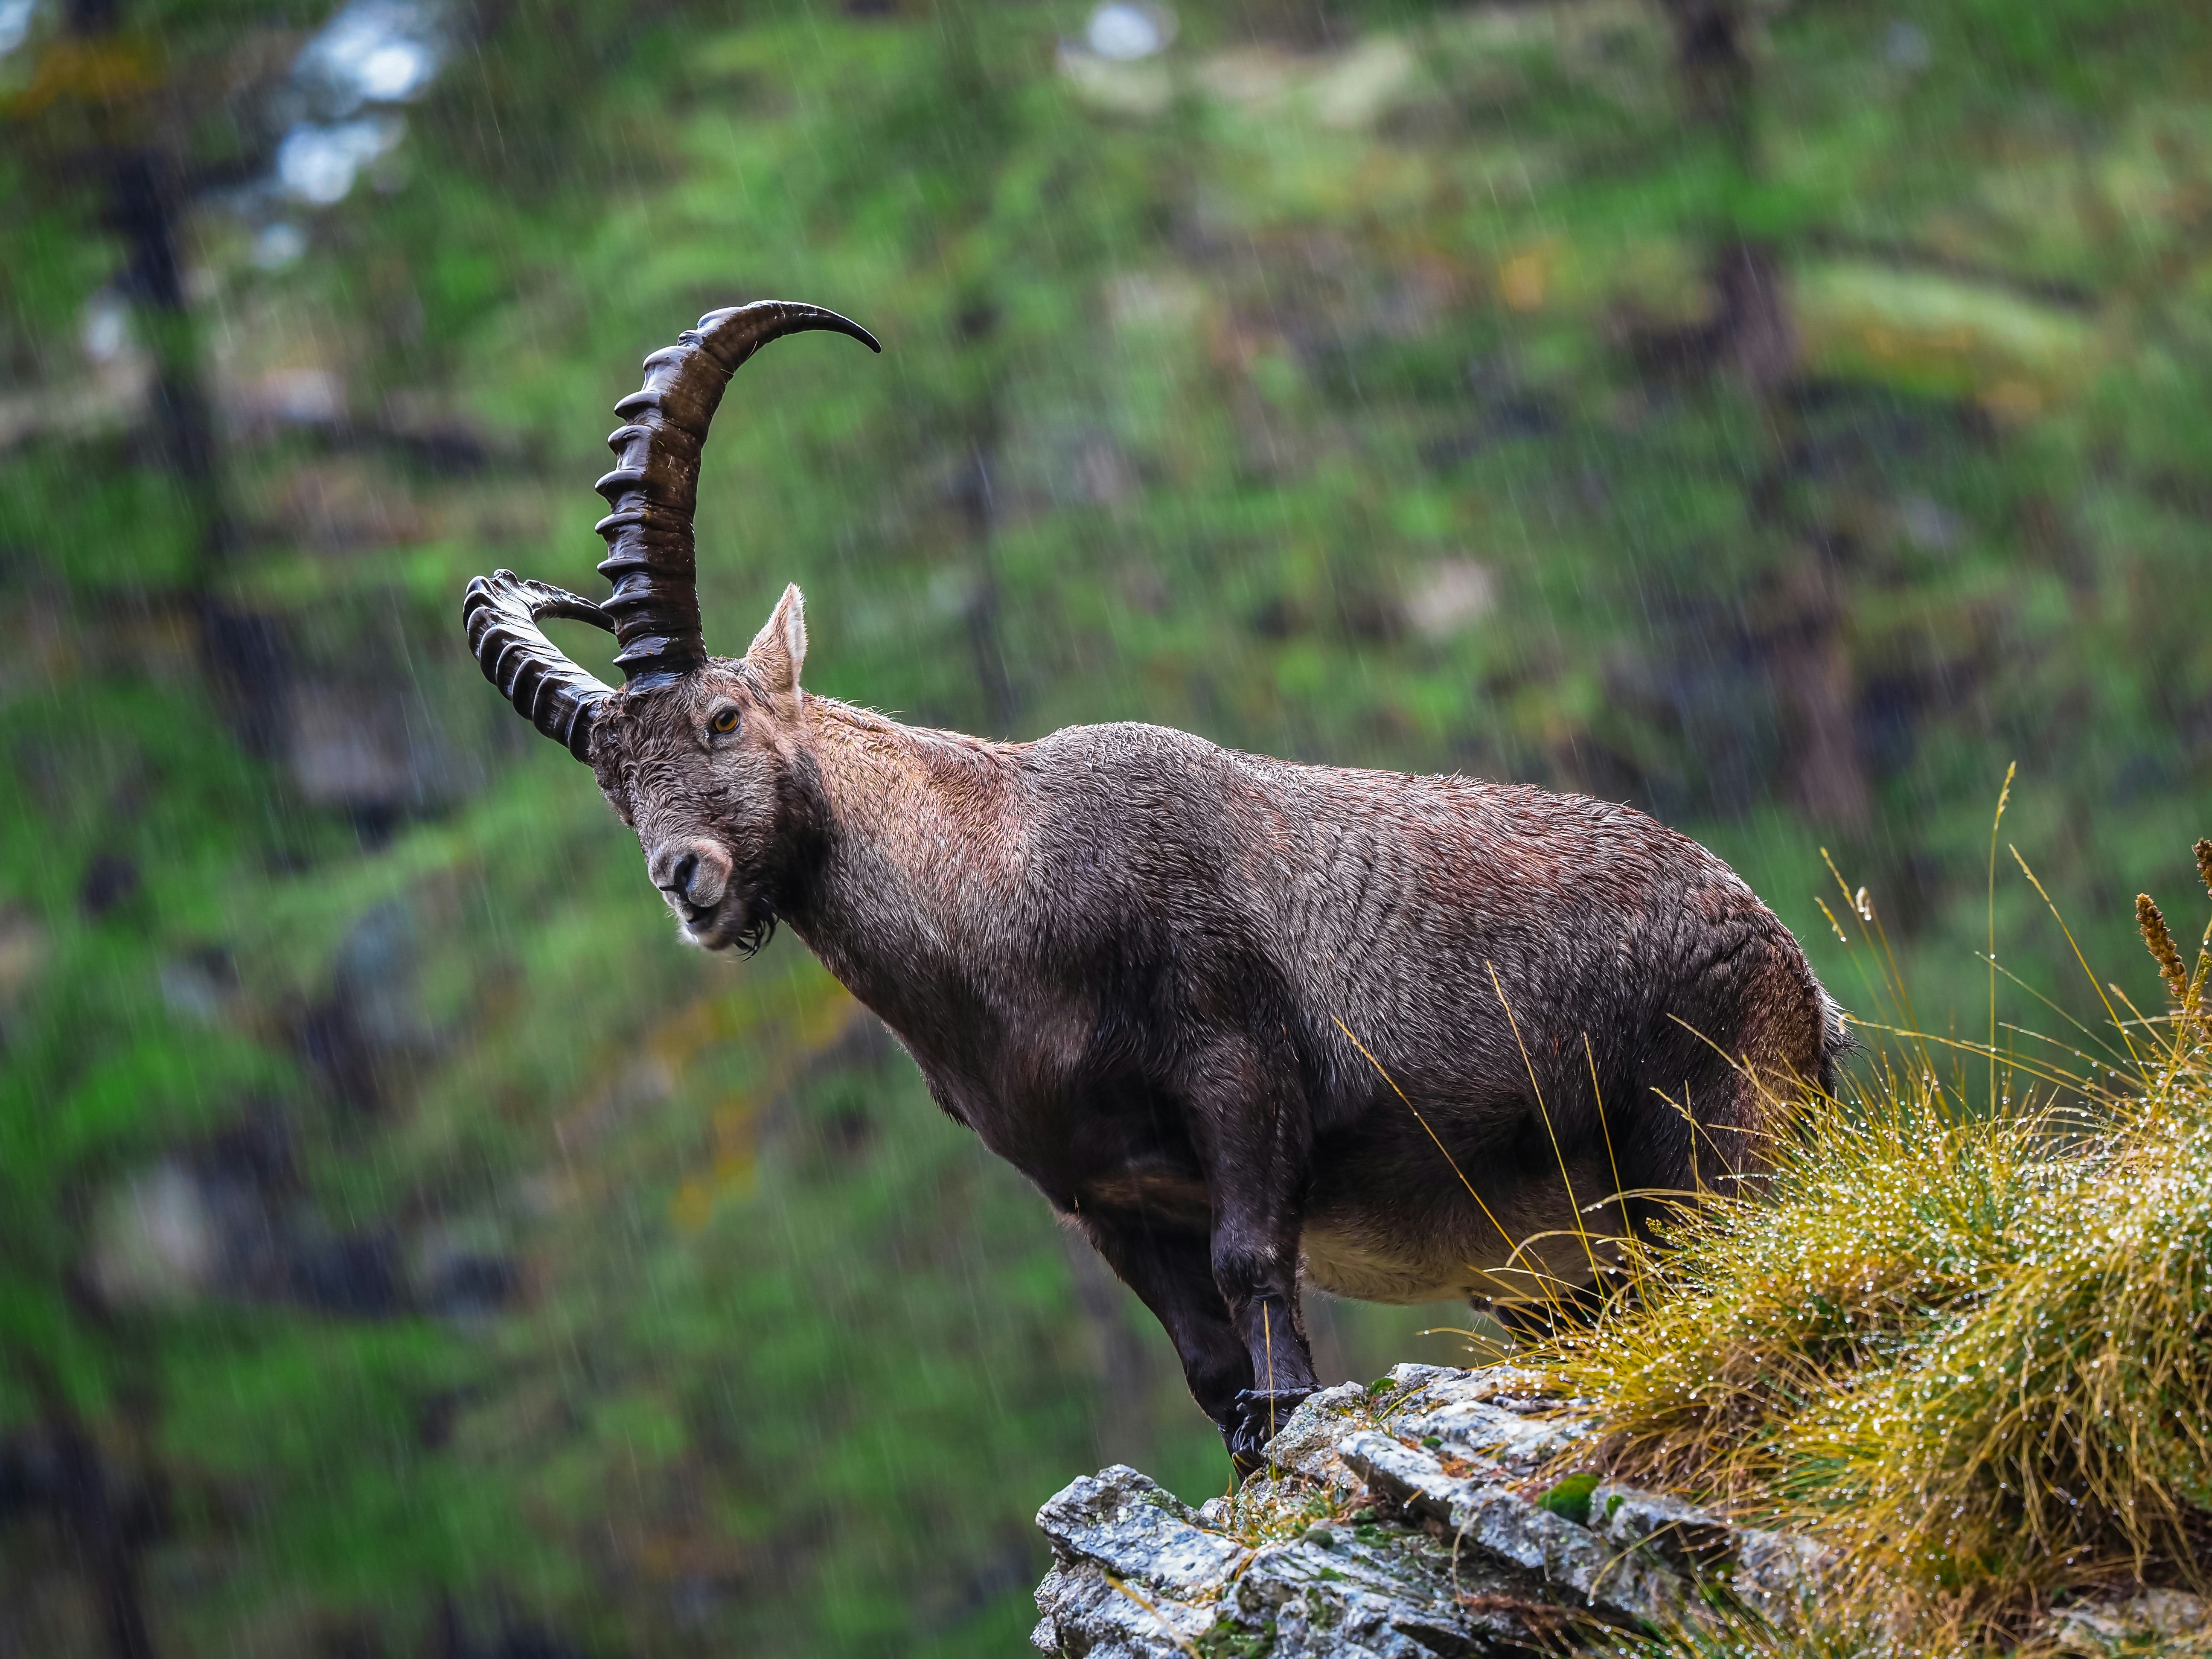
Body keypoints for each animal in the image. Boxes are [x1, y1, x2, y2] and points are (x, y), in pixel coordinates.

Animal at [464, 302, 1850, 1468]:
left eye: (723, 716)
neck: (1003, 891)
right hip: (1561, 1266)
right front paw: (1248, 1458)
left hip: (1717, 1141)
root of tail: (1797, 973)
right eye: (612, 786)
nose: (686, 879)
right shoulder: (1100, 1194)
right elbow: (1198, 1358)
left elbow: (1251, 1266)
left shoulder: (1241, 1074)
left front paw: (1292, 1431)